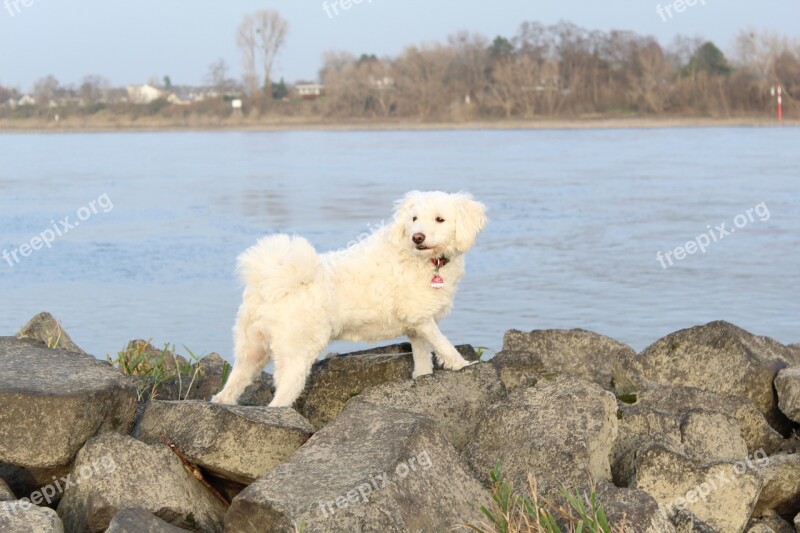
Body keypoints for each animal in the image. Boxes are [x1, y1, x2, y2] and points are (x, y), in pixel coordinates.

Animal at [211, 191, 488, 408]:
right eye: (414, 219)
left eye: (440, 219)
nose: (417, 237)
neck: (425, 261)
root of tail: (272, 281)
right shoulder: (422, 318)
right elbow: (444, 345)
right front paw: (463, 364)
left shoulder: (417, 324)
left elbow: (422, 358)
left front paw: (423, 377)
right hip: (295, 355)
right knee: (281, 398)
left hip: (251, 349)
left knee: (232, 385)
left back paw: (222, 401)